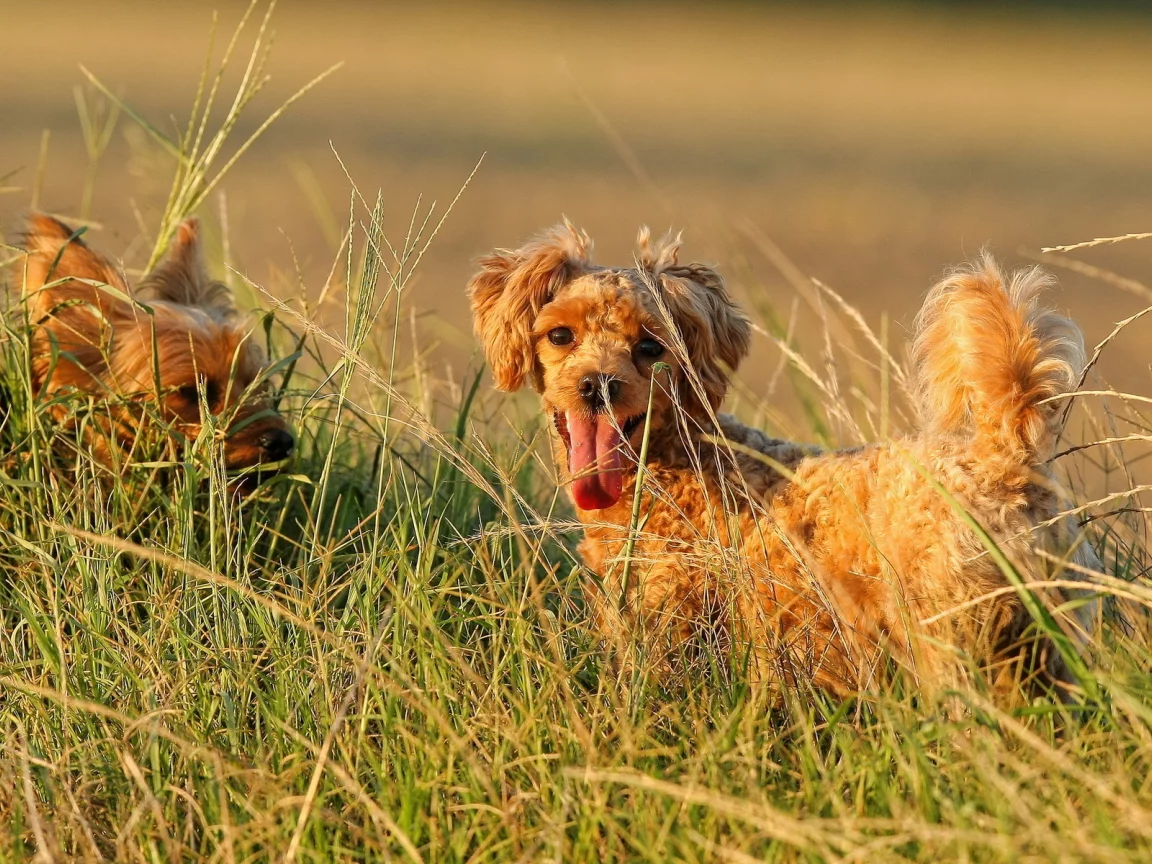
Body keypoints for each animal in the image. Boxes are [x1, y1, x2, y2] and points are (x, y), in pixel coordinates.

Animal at [465, 220, 1096, 700]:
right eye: (560, 336)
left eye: (649, 346)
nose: (598, 385)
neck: (678, 465)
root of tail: (1004, 455)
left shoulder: (675, 619)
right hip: (1050, 646)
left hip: (951, 636)